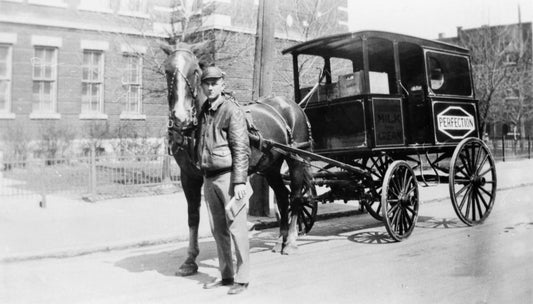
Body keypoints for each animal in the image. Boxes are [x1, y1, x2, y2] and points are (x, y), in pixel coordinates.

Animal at [162, 43, 312, 276]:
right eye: (167, 70)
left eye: (194, 71)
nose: (180, 116)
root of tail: (292, 106)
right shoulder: (189, 177)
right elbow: (193, 216)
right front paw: (190, 260)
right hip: (271, 166)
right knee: (282, 196)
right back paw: (281, 240)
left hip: (297, 159)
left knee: (295, 197)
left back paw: (292, 242)